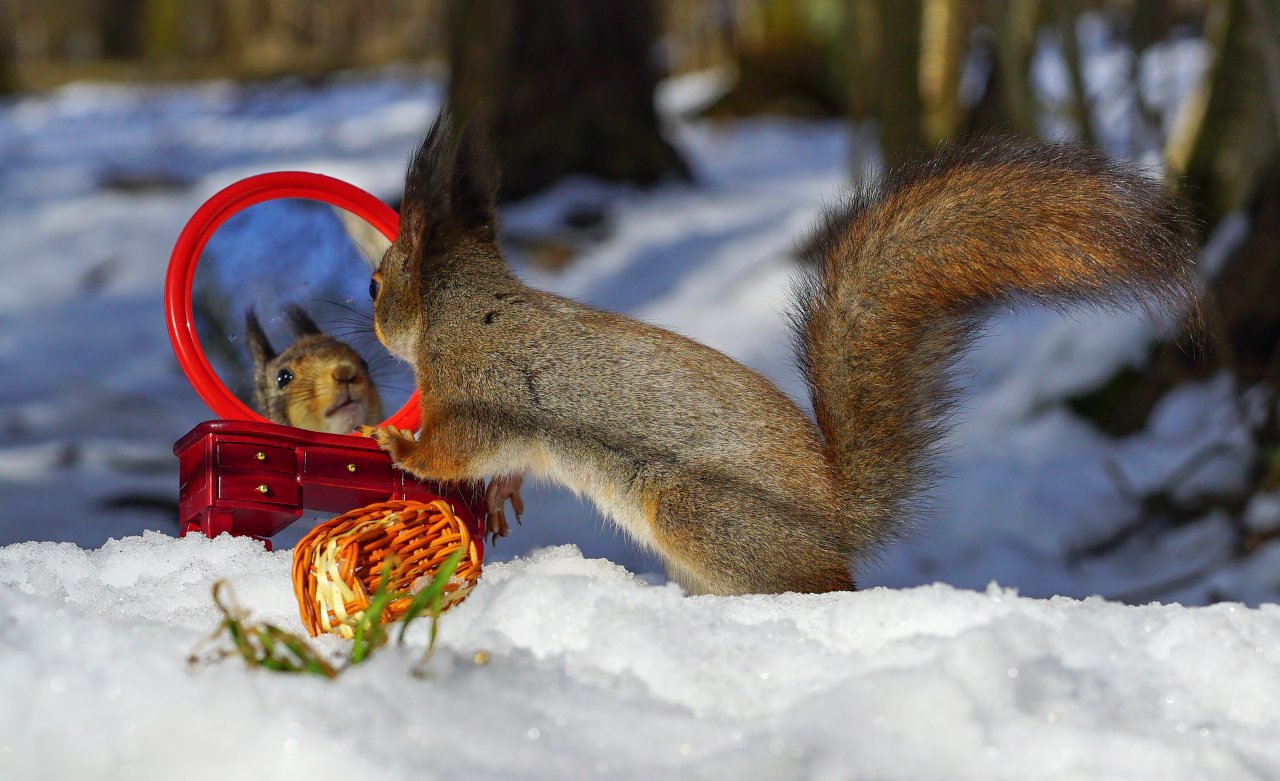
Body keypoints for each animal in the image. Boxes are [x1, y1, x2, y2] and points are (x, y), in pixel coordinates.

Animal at [360, 109, 1198, 594]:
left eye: (374, 283)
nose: (371, 325)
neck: (467, 305)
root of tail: (837, 521)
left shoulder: (476, 384)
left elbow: (455, 446)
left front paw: (398, 446)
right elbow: (501, 462)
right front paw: (502, 497)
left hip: (701, 515)